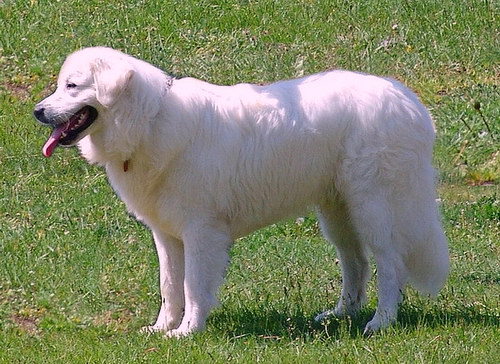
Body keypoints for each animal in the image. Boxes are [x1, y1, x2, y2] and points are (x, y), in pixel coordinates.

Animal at [35, 47, 450, 336]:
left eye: (72, 86)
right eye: (60, 85)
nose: (38, 111)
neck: (148, 121)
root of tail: (409, 102)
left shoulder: (202, 233)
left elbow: (193, 286)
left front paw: (187, 332)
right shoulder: (167, 236)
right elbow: (169, 285)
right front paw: (161, 329)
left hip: (374, 207)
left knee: (390, 264)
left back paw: (380, 323)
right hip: (337, 214)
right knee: (356, 263)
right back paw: (339, 315)